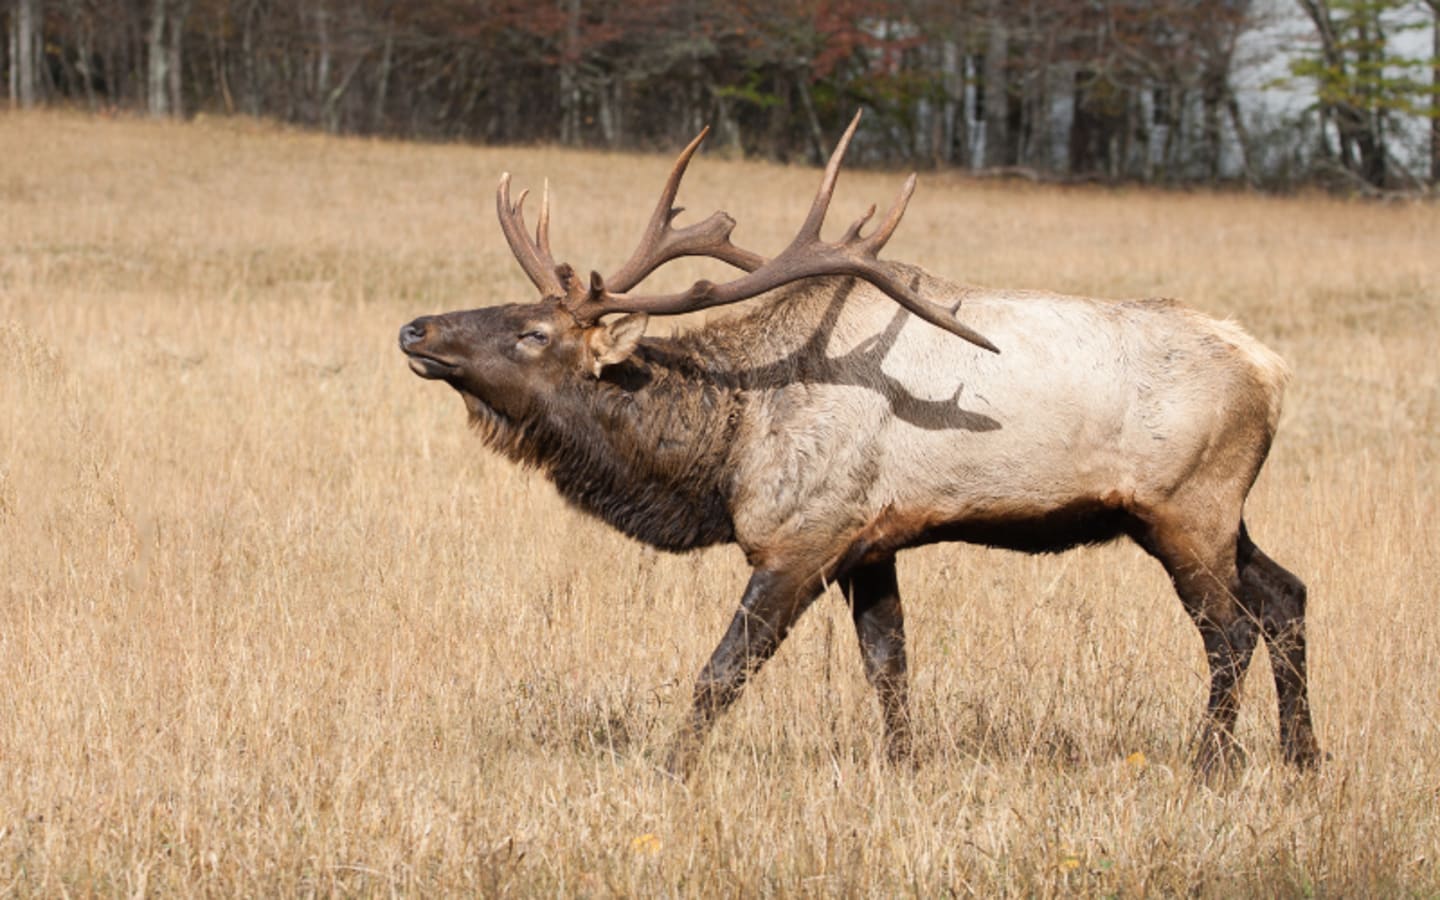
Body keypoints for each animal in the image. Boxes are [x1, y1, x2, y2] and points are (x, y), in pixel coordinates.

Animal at [398, 112, 1319, 777]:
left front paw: (666, 771)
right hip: (1208, 513)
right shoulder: (872, 543)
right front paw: (903, 769)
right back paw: (1305, 758)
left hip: (1187, 504)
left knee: (1229, 630)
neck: (723, 450)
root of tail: (1273, 372)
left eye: (532, 331)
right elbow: (890, 665)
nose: (417, 328)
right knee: (1287, 595)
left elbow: (722, 672)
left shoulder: (804, 537)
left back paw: (1212, 765)